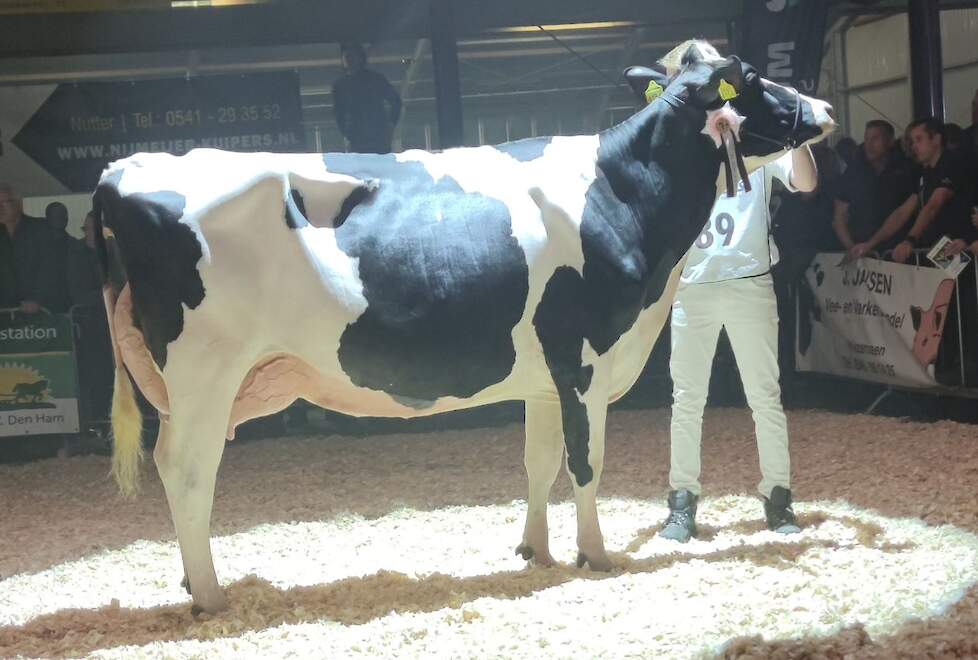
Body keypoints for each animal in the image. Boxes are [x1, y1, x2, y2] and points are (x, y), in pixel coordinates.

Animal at [95, 41, 832, 612]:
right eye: (753, 77)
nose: (824, 110)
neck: (618, 194)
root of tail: (125, 168)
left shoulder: (544, 377)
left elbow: (539, 462)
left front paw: (536, 550)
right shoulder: (583, 360)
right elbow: (586, 462)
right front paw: (595, 555)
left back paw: (191, 582)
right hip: (205, 370)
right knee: (186, 467)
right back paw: (211, 596)